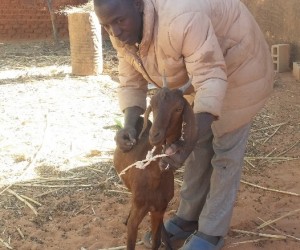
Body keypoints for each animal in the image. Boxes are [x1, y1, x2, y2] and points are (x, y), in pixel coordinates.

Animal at [112, 78, 197, 250]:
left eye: (178, 108)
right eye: (152, 103)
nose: (154, 134)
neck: (154, 176)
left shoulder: (159, 209)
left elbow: (156, 242)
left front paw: (163, 240)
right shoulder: (138, 213)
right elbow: (130, 240)